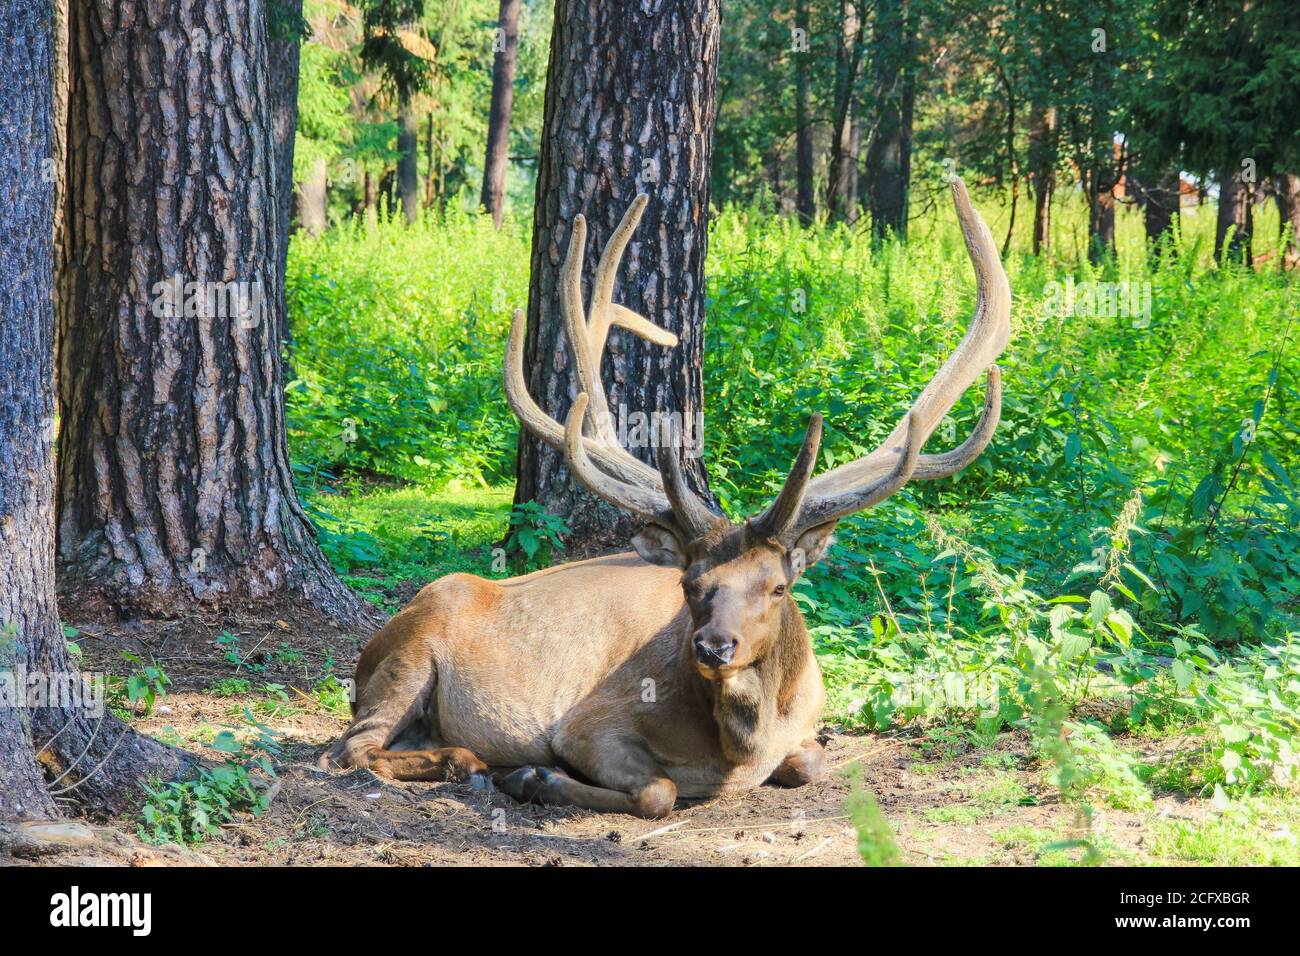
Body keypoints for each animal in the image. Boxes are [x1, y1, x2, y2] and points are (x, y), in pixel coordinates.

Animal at [319, 178, 1008, 816]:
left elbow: (809, 761)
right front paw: (535, 776)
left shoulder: (810, 725)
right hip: (409, 656)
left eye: (777, 587)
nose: (714, 646)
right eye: (689, 584)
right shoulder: (586, 721)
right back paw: (468, 762)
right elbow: (658, 790)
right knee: (350, 747)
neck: (737, 749)